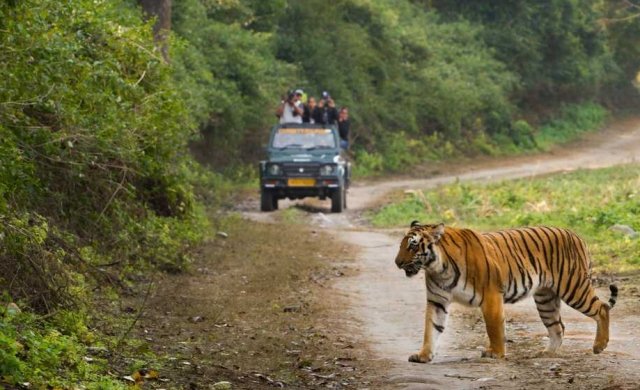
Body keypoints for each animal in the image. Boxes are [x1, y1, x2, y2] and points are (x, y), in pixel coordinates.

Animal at [392, 219, 616, 362]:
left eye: (412, 246)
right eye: (402, 245)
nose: (397, 263)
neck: (437, 267)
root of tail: (576, 235)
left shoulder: (491, 296)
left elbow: (494, 327)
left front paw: (496, 353)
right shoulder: (437, 301)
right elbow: (431, 328)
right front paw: (423, 355)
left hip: (573, 287)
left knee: (602, 308)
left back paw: (599, 346)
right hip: (546, 299)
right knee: (558, 327)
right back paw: (546, 353)